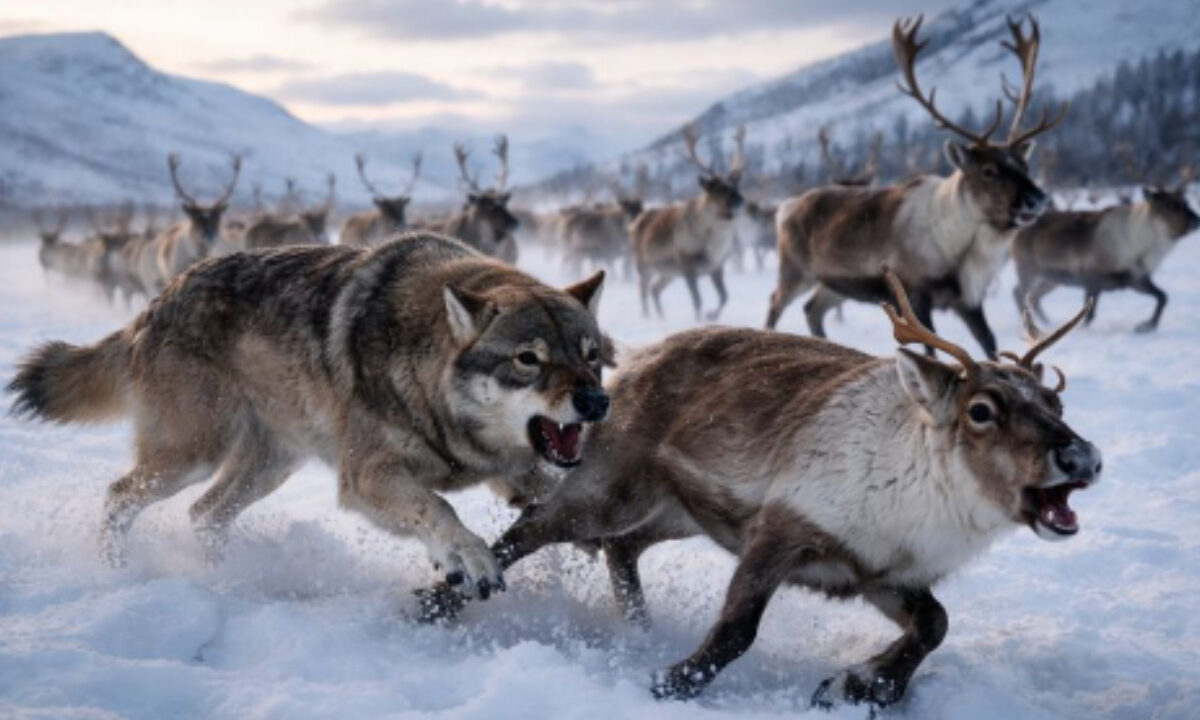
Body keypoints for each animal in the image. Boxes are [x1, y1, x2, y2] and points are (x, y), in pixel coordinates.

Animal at [8, 233, 610, 597]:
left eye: (591, 355)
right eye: (529, 359)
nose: (596, 402)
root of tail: (156, 303)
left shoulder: (515, 472)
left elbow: (550, 497)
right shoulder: (365, 477)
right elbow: (438, 506)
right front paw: (469, 557)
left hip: (268, 469)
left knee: (204, 514)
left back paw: (227, 579)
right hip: (192, 457)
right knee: (119, 496)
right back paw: (118, 572)